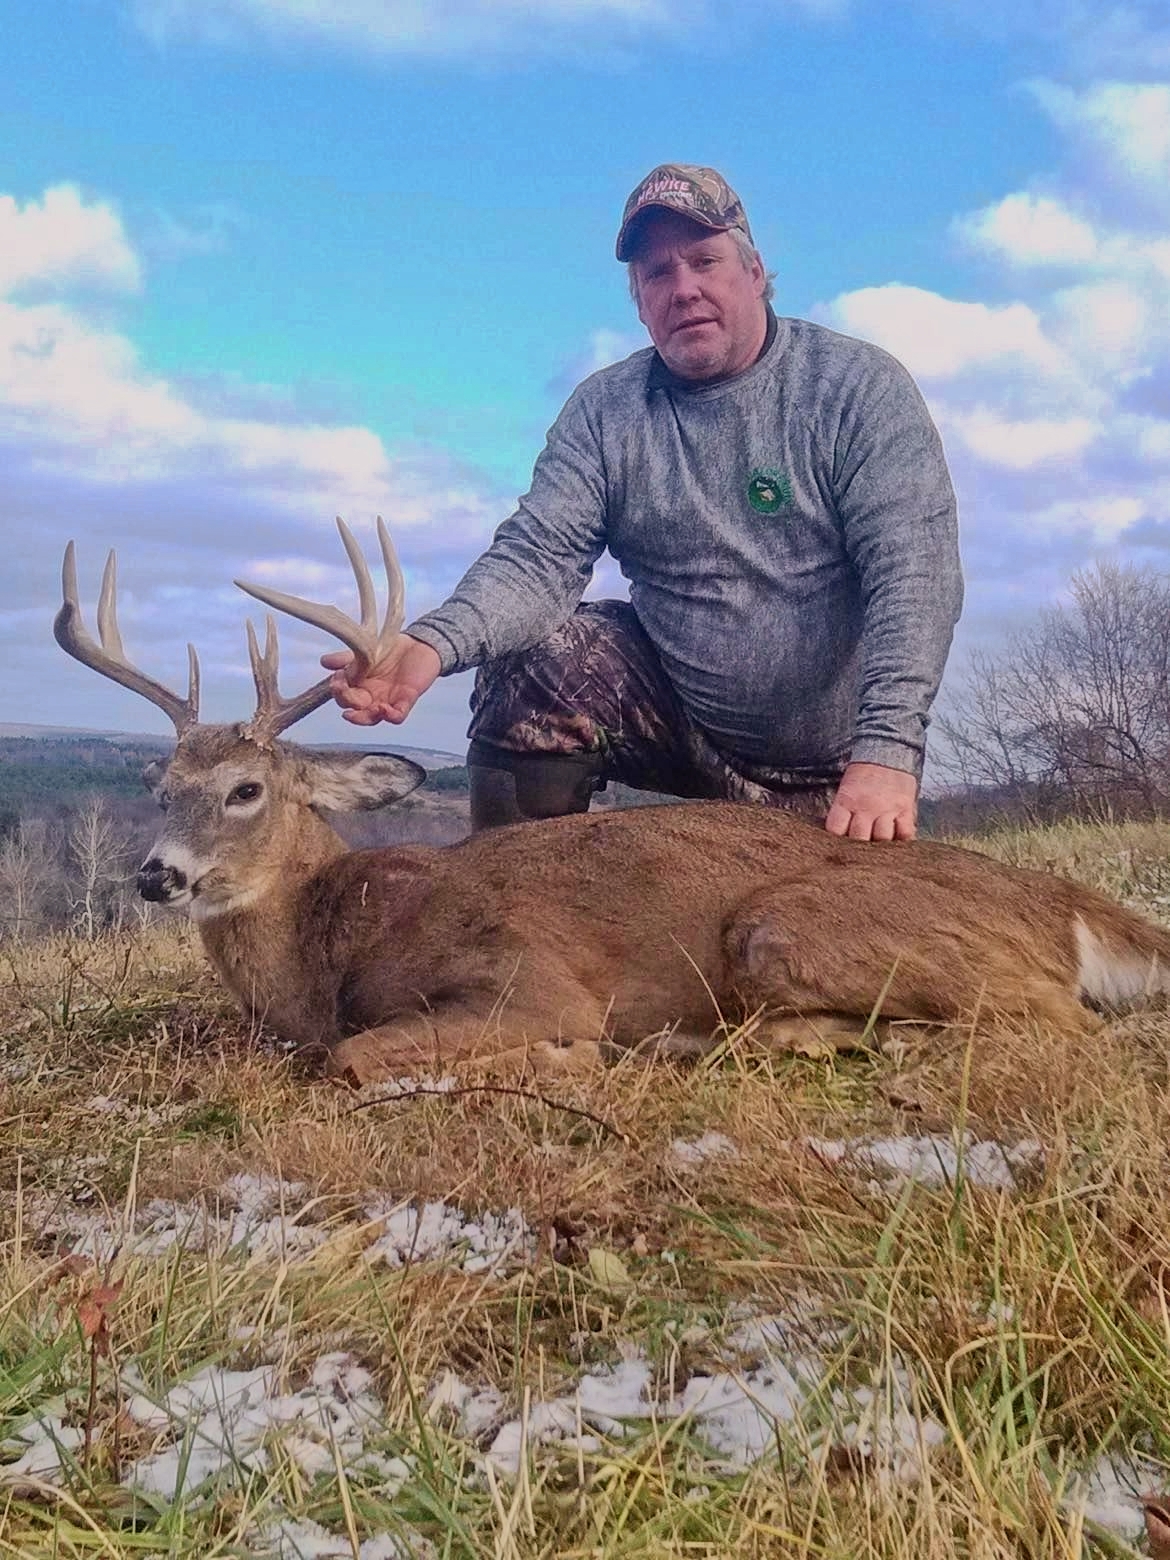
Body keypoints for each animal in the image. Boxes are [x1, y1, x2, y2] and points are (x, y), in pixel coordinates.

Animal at [54, 519, 1170, 1086]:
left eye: (245, 789)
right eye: (161, 788)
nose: (156, 875)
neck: (334, 943)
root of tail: (1059, 901)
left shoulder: (527, 977)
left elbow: (356, 1057)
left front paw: (562, 1058)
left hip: (781, 926)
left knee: (1059, 1022)